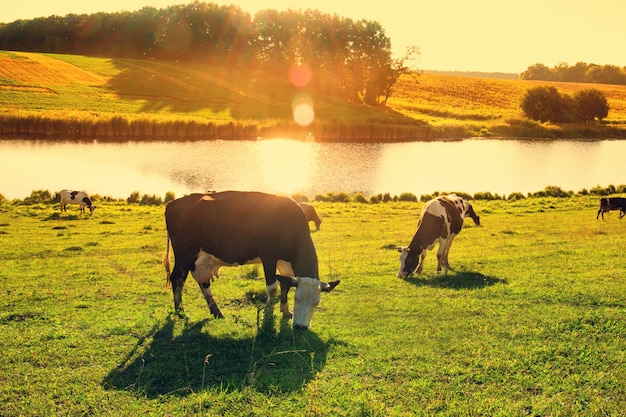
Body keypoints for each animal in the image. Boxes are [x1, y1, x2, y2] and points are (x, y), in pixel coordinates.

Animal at [161, 190, 336, 330]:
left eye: (317, 303)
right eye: (297, 299)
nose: (300, 327)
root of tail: (174, 203)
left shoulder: (284, 265)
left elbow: (284, 286)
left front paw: (286, 311)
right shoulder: (268, 256)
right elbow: (273, 288)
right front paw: (268, 313)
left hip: (200, 259)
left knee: (203, 282)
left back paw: (216, 312)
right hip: (184, 255)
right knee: (177, 279)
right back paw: (180, 312)